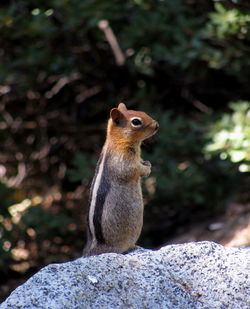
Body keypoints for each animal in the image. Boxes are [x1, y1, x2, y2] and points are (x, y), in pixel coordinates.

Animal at [83, 102, 159, 254]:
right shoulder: (122, 161)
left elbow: (140, 162)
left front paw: (147, 163)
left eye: (142, 111)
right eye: (136, 121)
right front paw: (146, 170)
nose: (157, 125)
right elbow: (133, 170)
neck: (117, 140)